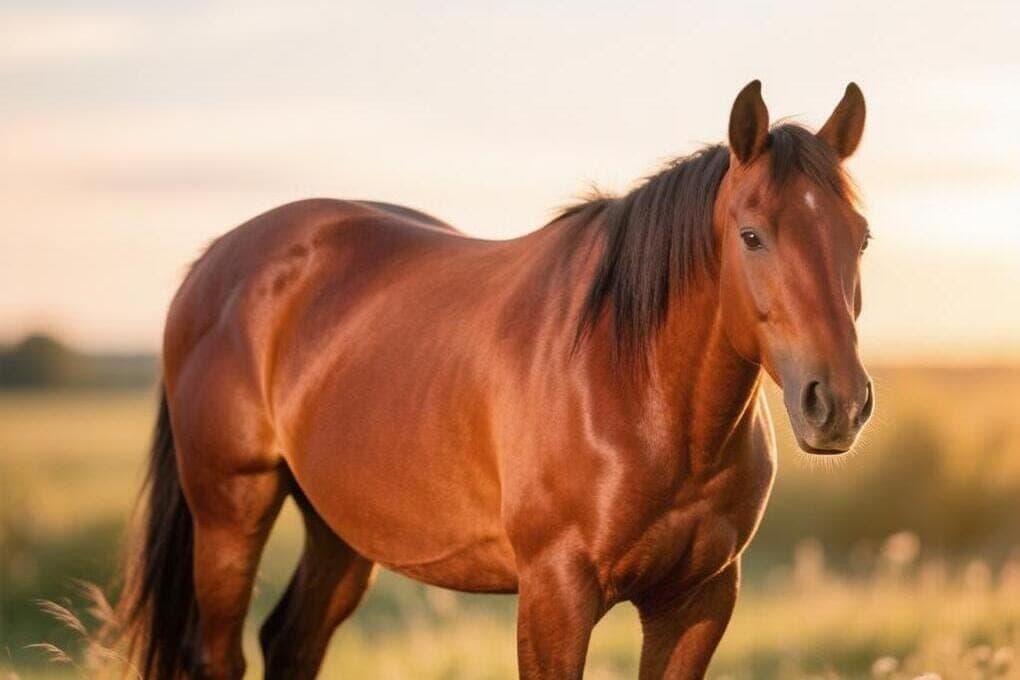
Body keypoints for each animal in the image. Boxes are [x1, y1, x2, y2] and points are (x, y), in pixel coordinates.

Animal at [117, 80, 873, 679]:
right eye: (751, 235)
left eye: (860, 236)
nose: (835, 403)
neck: (637, 390)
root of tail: (216, 262)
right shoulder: (554, 596)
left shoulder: (698, 600)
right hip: (230, 515)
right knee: (223, 655)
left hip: (338, 531)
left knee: (291, 643)